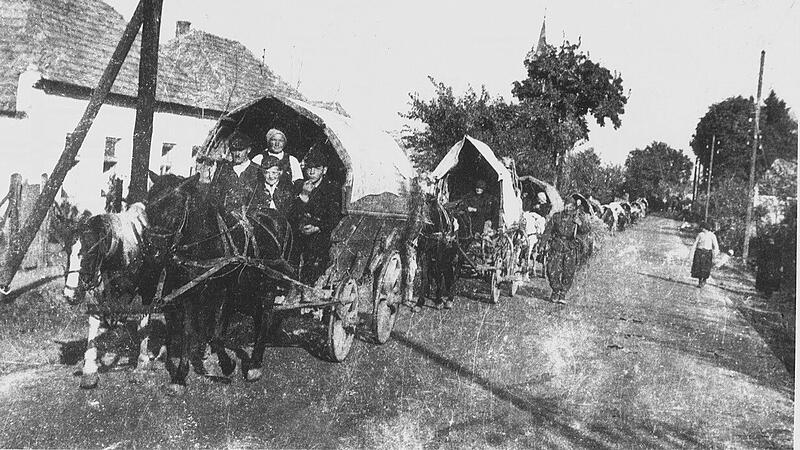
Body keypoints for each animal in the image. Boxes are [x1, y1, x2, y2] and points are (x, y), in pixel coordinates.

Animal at [145, 172, 294, 394]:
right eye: (148, 207)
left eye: (174, 209)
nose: (152, 251)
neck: (207, 242)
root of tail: (277, 217)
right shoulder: (189, 293)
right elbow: (189, 331)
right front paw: (180, 376)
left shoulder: (222, 290)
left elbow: (215, 333)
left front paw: (227, 365)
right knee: (258, 316)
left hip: (269, 281)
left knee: (266, 315)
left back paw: (255, 365)